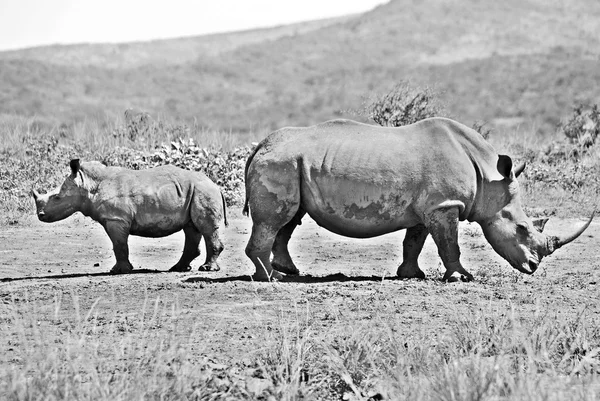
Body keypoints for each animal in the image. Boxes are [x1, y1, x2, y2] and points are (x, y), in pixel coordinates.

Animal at [34, 161, 229, 274]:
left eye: (57, 198)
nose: (40, 216)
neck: (88, 185)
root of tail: (215, 185)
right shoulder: (116, 219)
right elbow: (119, 245)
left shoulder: (116, 219)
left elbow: (119, 245)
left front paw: (118, 271)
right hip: (193, 192)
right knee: (191, 228)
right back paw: (178, 269)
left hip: (203, 191)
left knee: (205, 228)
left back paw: (207, 269)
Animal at [241, 118, 592, 282]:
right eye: (522, 228)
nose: (533, 266)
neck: (488, 176)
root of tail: (260, 146)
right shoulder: (445, 205)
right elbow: (450, 243)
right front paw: (462, 278)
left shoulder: (430, 207)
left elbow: (415, 241)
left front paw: (411, 275)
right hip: (281, 163)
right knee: (277, 218)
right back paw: (272, 278)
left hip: (291, 162)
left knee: (291, 218)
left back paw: (288, 271)